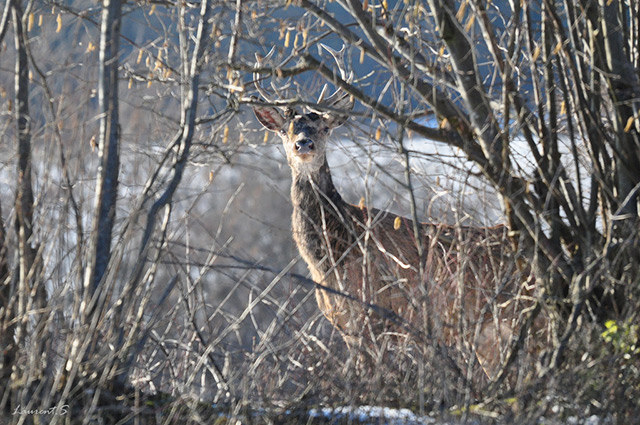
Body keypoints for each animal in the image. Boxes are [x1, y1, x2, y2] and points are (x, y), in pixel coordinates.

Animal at [252, 47, 548, 380]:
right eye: (285, 130)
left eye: (324, 128)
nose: (304, 144)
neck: (334, 255)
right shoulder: (345, 324)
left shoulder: (375, 315)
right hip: (490, 334)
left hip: (531, 318)